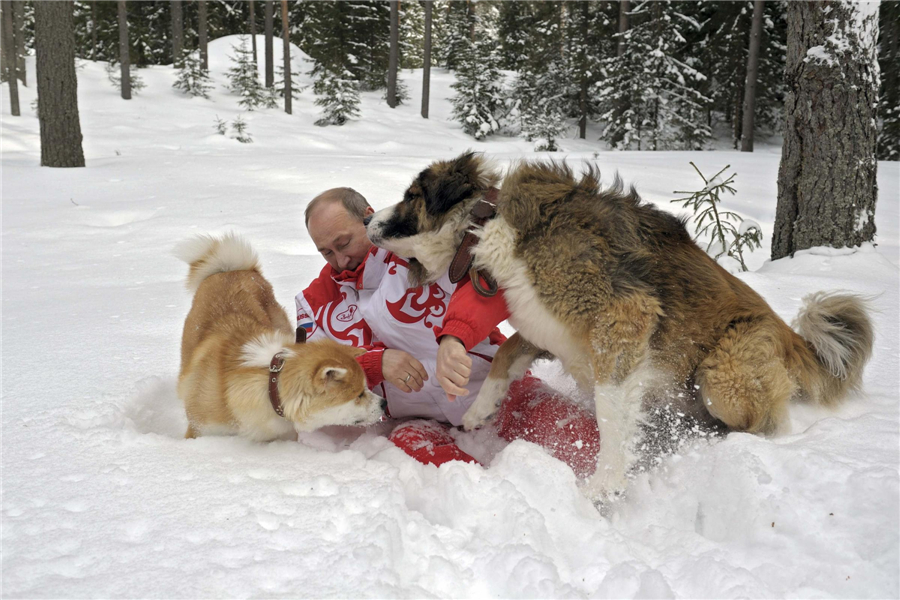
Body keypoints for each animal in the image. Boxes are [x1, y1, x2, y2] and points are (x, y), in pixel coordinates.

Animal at [176, 233, 386, 440]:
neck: (270, 386)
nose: (384, 403)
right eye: (358, 395)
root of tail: (229, 270)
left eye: (366, 388)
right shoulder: (200, 430)